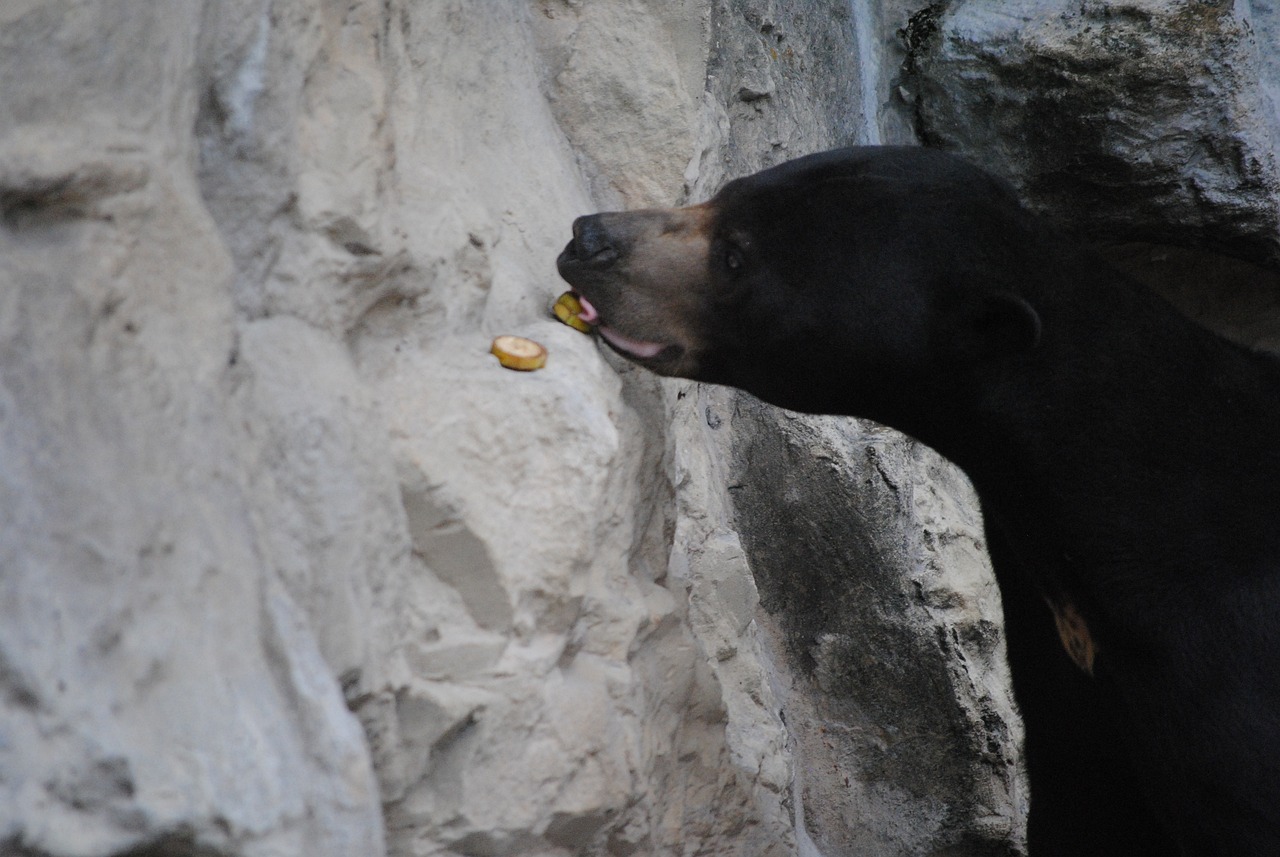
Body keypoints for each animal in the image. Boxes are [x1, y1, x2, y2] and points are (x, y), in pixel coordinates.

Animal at [555, 145, 1280, 854]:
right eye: (725, 192)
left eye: (736, 256)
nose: (587, 238)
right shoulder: (1068, 680)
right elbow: (1080, 803)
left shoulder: (1216, 661)